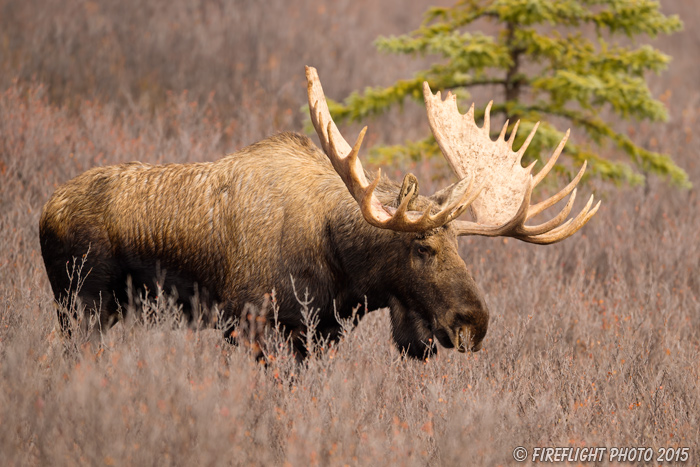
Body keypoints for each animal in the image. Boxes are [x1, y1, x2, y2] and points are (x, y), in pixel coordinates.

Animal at [38, 65, 600, 358]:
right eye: (422, 246)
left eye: (461, 245)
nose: (474, 323)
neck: (343, 272)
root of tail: (44, 211)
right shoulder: (249, 326)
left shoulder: (320, 335)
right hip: (81, 305)